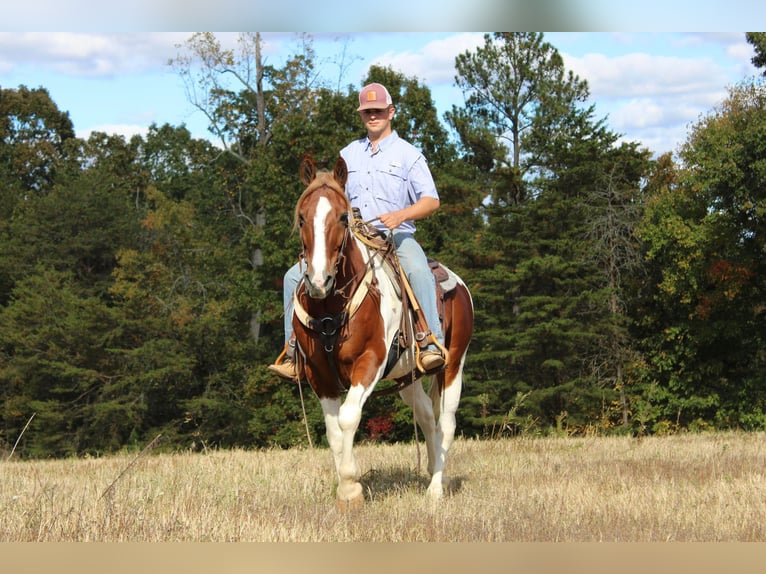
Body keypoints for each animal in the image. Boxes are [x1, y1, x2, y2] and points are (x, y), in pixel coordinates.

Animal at [292, 156, 474, 508]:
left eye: (343, 216)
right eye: (302, 217)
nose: (318, 281)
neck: (330, 307)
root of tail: (458, 284)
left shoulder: (370, 361)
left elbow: (349, 417)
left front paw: (351, 488)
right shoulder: (319, 374)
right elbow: (333, 431)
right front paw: (344, 487)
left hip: (453, 365)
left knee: (446, 423)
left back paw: (435, 488)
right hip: (407, 377)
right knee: (426, 416)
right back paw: (431, 470)